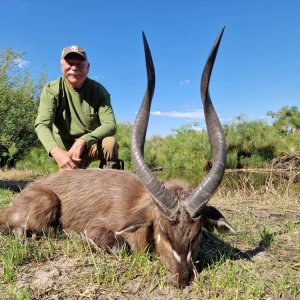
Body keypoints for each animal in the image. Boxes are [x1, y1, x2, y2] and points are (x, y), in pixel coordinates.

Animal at [0, 28, 234, 288]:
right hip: (47, 202)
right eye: (163, 231)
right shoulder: (100, 228)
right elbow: (118, 247)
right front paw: (76, 235)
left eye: (197, 233)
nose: (181, 278)